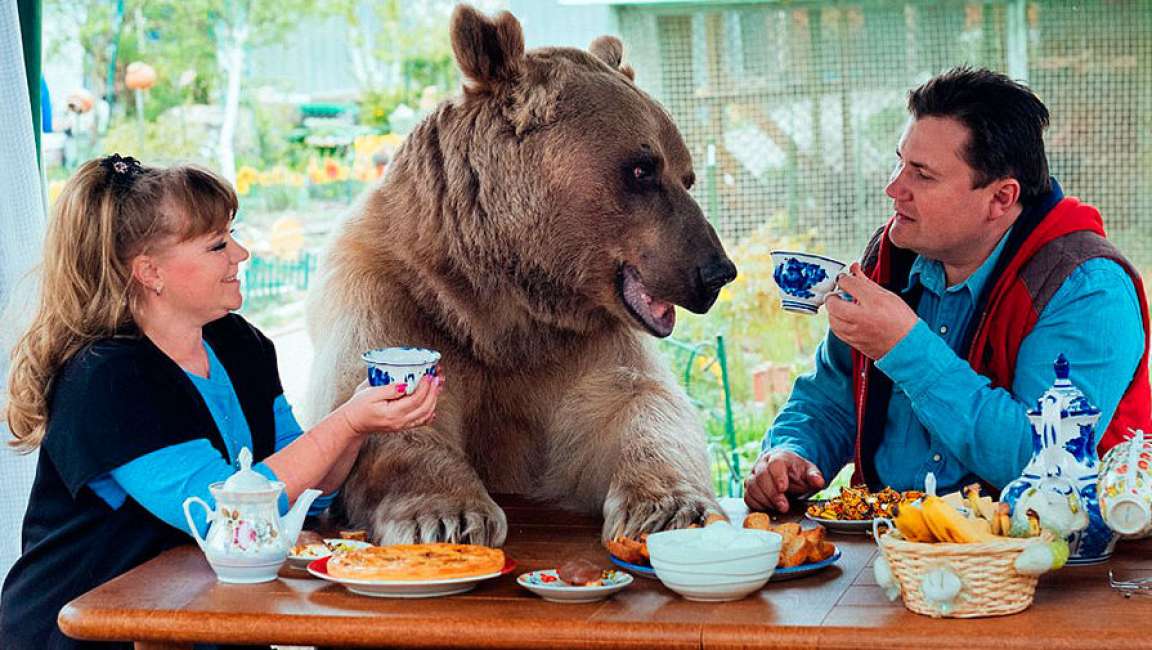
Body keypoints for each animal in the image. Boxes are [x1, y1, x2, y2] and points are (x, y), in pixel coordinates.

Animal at [304, 5, 737, 546]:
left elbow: (638, 406)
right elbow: (381, 413)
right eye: (642, 169)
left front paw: (672, 508)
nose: (717, 271)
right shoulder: (394, 296)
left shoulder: (579, 346)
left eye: (686, 175)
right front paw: (448, 516)